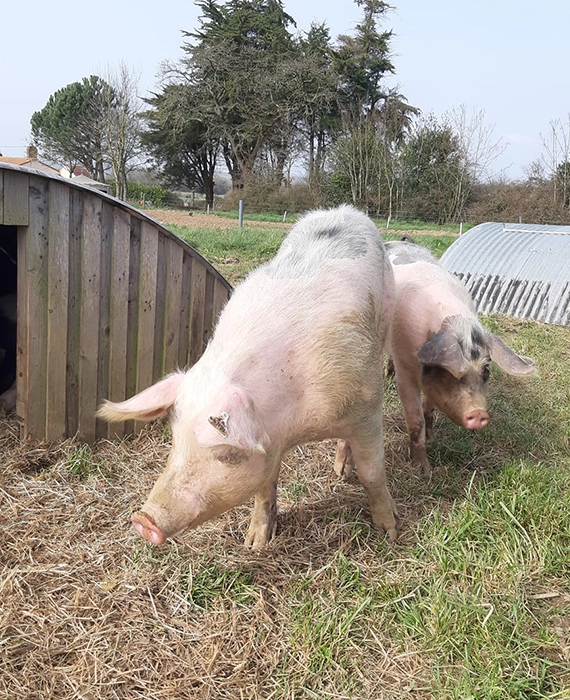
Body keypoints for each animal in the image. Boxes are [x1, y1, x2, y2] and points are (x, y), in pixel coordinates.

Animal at [97, 205, 398, 548]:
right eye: (175, 438)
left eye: (227, 454)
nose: (144, 520)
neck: (296, 426)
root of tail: (344, 211)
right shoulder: (270, 444)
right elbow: (265, 486)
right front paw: (254, 543)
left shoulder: (367, 408)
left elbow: (373, 473)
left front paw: (390, 533)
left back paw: (342, 474)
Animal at [382, 241, 532, 476]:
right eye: (447, 369)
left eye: (486, 371)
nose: (478, 414)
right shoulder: (405, 365)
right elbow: (415, 419)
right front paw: (423, 471)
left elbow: (428, 408)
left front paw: (431, 438)